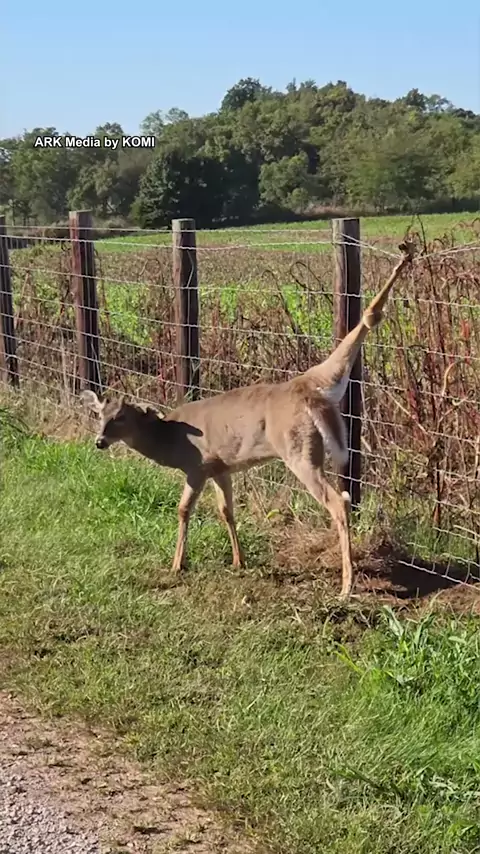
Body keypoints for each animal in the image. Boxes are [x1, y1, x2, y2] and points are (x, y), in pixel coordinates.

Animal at [81, 243, 414, 599]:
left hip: (298, 449)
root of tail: (308, 385)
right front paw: (238, 561)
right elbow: (226, 511)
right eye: (99, 415)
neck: (168, 437)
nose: (99, 442)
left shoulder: (197, 465)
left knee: (338, 502)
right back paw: (404, 257)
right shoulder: (221, 467)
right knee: (369, 320)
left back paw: (346, 586)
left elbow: (183, 510)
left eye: (120, 417)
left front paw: (177, 564)